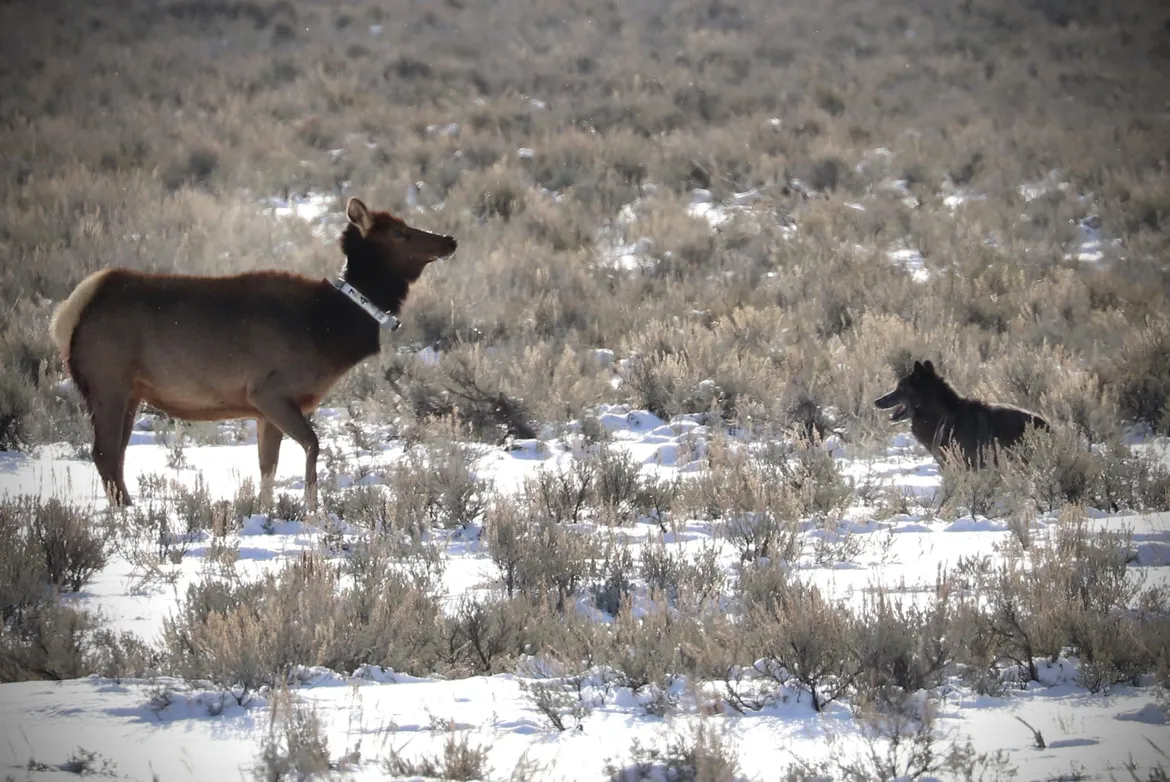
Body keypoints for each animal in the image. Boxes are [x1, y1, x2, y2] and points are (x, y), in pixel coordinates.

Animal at [49, 197, 456, 511]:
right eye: (400, 232)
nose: (449, 239)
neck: (329, 328)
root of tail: (67, 315)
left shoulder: (264, 408)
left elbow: (267, 466)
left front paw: (264, 512)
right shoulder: (270, 390)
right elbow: (312, 445)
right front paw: (311, 508)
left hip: (131, 391)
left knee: (116, 453)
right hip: (108, 380)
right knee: (104, 452)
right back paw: (128, 516)